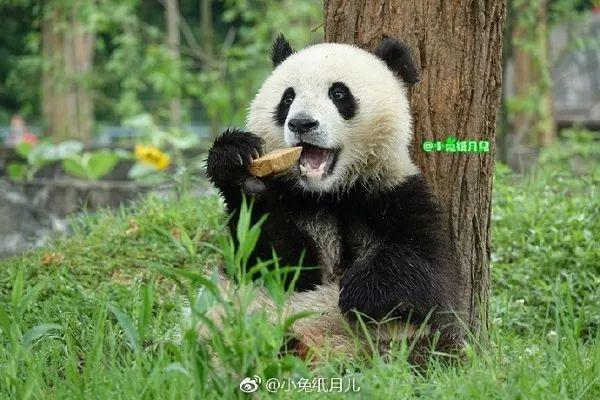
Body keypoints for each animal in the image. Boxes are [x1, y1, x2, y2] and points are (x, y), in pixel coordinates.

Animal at [204, 34, 466, 360]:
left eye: (339, 93)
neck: (332, 191)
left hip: (401, 344)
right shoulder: (293, 200)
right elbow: (272, 265)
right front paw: (237, 165)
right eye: (287, 98)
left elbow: (431, 275)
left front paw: (359, 290)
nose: (301, 124)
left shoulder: (396, 194)